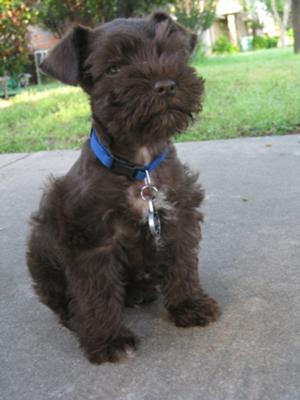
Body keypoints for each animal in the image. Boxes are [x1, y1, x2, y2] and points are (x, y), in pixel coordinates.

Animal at [27, 10, 220, 364]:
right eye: (114, 68)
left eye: (170, 52)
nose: (165, 84)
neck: (140, 169)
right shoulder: (92, 239)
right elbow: (97, 293)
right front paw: (108, 341)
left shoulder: (178, 219)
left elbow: (182, 266)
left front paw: (188, 305)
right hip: (42, 240)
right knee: (60, 298)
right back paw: (73, 317)